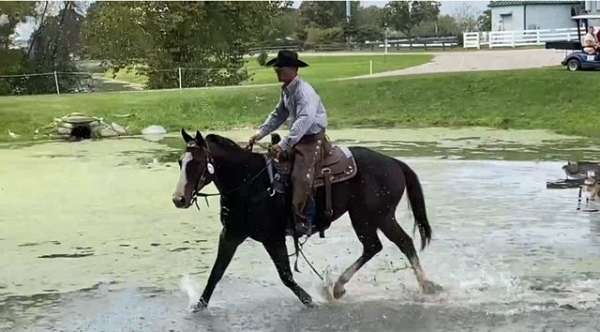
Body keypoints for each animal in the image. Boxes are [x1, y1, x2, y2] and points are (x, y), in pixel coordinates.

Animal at [171, 129, 442, 308]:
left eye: (196, 163)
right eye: (180, 161)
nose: (178, 199)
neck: (249, 182)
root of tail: (394, 162)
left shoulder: (273, 237)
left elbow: (286, 276)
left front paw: (309, 300)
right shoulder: (231, 234)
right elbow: (216, 272)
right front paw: (199, 305)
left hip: (375, 216)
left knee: (399, 243)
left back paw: (425, 287)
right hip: (367, 217)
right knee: (375, 246)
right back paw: (340, 287)